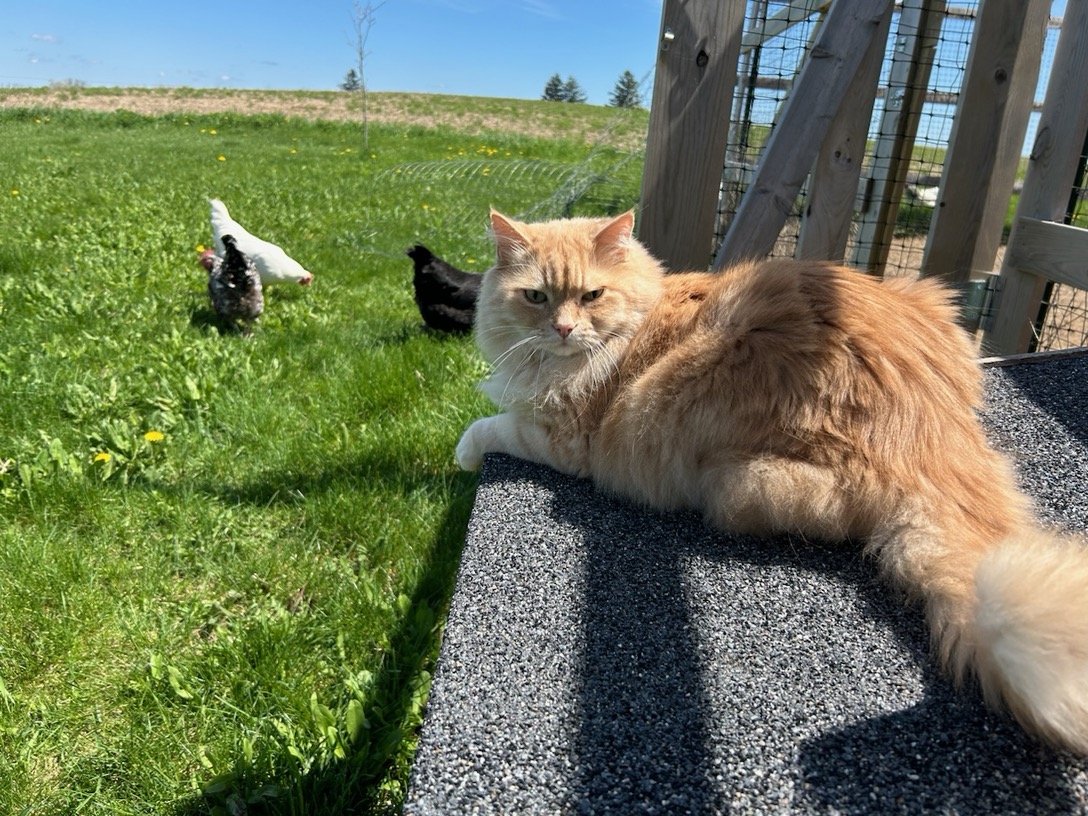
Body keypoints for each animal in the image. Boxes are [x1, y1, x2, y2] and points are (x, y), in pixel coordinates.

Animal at [456, 207, 1088, 757]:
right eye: (536, 297)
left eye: (592, 296)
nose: (563, 329)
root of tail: (926, 432)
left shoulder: (563, 440)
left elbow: (490, 426)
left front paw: (463, 454)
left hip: (732, 476)